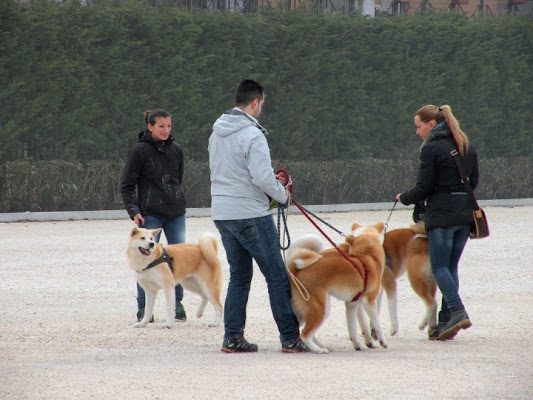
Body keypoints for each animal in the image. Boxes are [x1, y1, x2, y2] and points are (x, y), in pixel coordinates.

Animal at [286, 222, 386, 354]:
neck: (365, 255)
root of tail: (295, 272)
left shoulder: (353, 304)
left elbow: (357, 328)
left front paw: (362, 345)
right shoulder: (369, 302)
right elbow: (377, 324)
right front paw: (383, 342)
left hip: (302, 312)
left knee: (305, 331)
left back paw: (319, 346)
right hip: (322, 309)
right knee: (305, 334)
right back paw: (319, 350)